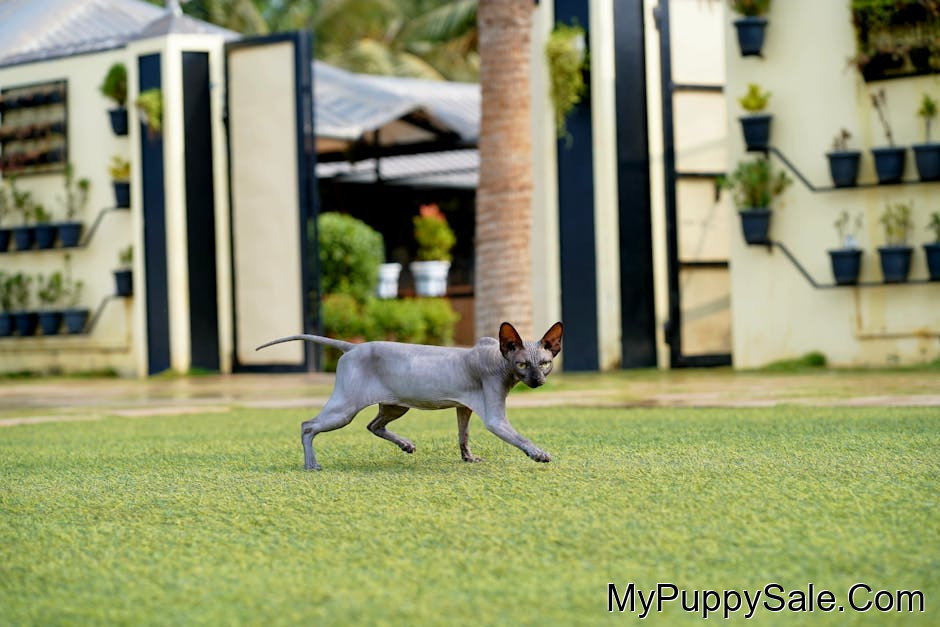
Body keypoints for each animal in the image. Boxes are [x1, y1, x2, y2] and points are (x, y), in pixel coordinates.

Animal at [256, 321, 563, 470]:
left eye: (545, 363)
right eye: (522, 365)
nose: (537, 381)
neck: (496, 358)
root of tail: (352, 347)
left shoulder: (464, 408)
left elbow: (463, 435)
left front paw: (468, 459)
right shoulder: (495, 419)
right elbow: (520, 437)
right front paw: (540, 454)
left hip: (395, 406)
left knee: (373, 425)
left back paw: (406, 445)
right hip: (345, 408)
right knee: (307, 425)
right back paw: (311, 465)